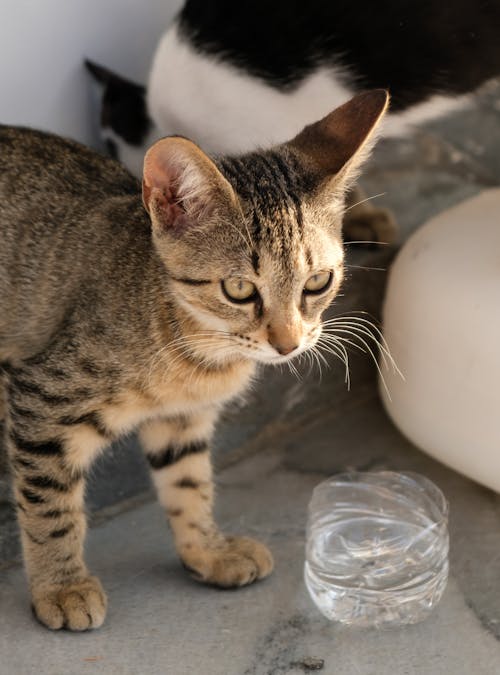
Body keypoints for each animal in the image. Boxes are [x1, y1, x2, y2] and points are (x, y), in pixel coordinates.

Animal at [0, 88, 388, 628]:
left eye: (317, 282)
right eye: (239, 288)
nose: (288, 343)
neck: (198, 353)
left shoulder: (183, 420)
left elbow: (188, 484)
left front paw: (208, 550)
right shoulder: (42, 399)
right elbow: (50, 504)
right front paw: (62, 587)